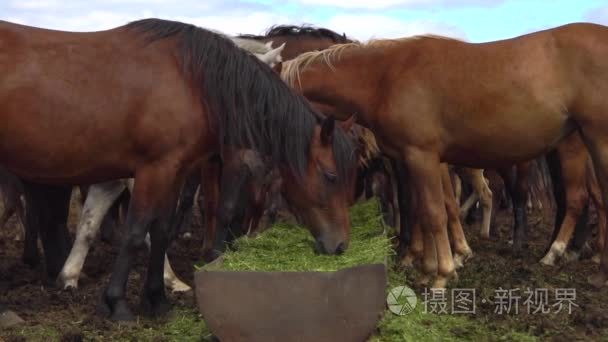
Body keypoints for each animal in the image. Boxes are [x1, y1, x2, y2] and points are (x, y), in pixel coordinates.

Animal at [282, 22, 608, 288]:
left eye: (329, 174)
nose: (333, 246)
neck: (385, 78)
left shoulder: (421, 156)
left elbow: (433, 212)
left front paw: (442, 273)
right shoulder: (416, 160)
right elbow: (426, 210)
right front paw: (429, 268)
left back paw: (559, 252)